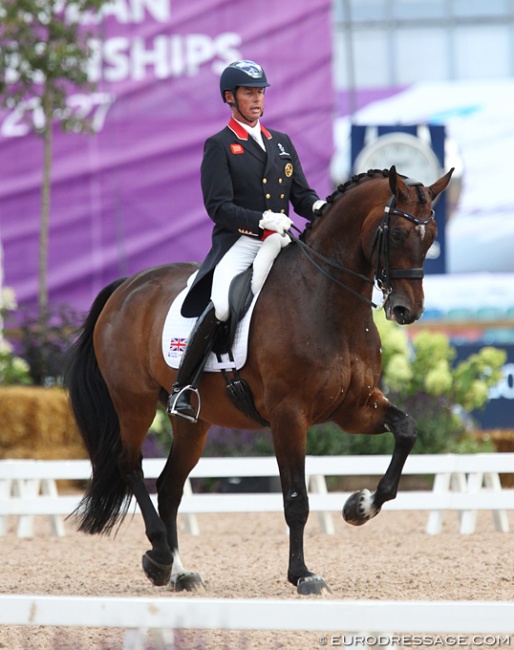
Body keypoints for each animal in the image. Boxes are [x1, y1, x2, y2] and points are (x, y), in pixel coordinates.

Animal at [65, 166, 452, 592]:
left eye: (431, 236)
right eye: (397, 233)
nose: (406, 310)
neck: (326, 301)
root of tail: (128, 285)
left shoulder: (355, 408)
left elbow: (407, 430)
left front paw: (359, 506)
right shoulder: (289, 415)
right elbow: (296, 499)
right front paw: (303, 575)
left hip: (193, 422)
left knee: (169, 486)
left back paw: (180, 572)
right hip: (133, 401)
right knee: (130, 464)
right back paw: (160, 558)